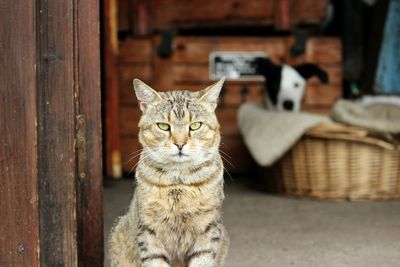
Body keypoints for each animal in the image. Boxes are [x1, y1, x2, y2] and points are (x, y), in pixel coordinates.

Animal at [108, 78, 228, 267]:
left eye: (195, 126)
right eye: (163, 126)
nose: (180, 144)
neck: (178, 182)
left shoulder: (208, 228)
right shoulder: (149, 229)